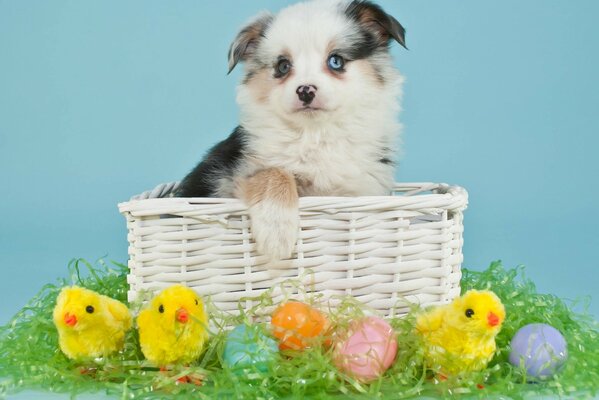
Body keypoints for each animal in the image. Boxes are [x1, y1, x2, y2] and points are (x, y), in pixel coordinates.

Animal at [175, 0, 408, 260]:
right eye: (283, 66)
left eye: (335, 61)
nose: (305, 91)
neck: (316, 133)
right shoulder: (230, 173)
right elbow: (275, 171)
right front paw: (276, 234)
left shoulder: (361, 189)